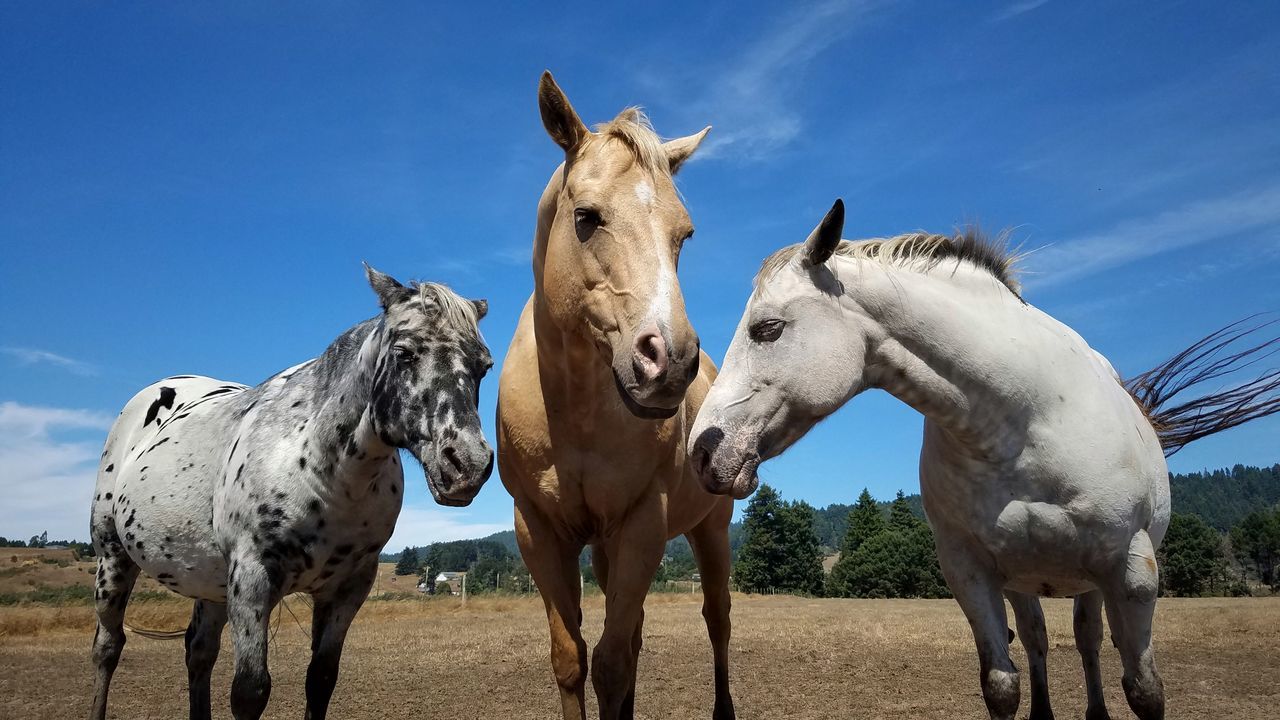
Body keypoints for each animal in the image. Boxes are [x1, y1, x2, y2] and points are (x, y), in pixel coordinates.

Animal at [88, 267, 494, 717]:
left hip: (210, 583)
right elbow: (250, 691)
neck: (323, 470)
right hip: (113, 558)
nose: (467, 465)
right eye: (404, 353)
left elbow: (320, 681)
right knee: (108, 648)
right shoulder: (252, 579)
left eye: (484, 367)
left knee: (198, 651)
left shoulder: (347, 589)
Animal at [496, 74, 742, 717]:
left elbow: (610, 664)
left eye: (685, 234)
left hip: (710, 529)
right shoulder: (539, 529)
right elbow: (573, 658)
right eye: (586, 216)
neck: (574, 410)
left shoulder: (642, 523)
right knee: (633, 636)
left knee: (717, 620)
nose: (670, 361)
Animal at [691, 197, 1280, 717]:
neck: (1023, 421)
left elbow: (1145, 691)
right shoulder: (969, 573)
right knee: (1040, 642)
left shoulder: (1131, 570)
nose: (702, 450)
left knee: (1088, 644)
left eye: (768, 329)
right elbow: (1002, 686)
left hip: (1093, 583)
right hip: (1024, 582)